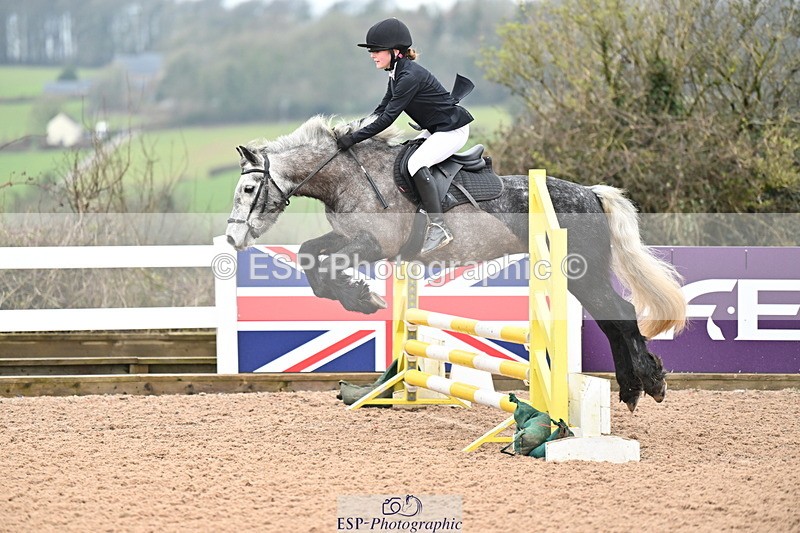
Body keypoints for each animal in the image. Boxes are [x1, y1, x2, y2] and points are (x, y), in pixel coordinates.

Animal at [225, 115, 687, 412]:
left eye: (248, 189)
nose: (233, 238)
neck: (348, 177)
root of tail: (591, 192)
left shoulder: (373, 244)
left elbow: (325, 263)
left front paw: (362, 297)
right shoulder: (351, 239)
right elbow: (310, 254)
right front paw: (358, 297)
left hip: (581, 270)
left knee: (620, 314)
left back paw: (647, 383)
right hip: (577, 274)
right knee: (613, 320)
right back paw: (634, 389)